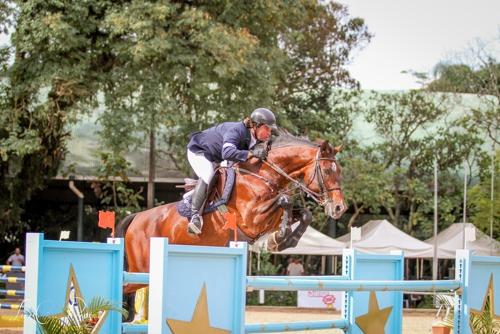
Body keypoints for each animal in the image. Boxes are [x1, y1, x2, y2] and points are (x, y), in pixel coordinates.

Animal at [115, 132, 346, 294]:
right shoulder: (251, 218)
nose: (339, 208)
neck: (263, 175)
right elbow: (285, 200)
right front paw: (279, 237)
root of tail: (136, 218)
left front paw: (282, 241)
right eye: (327, 171)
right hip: (141, 270)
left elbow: (304, 213)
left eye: (340, 171)